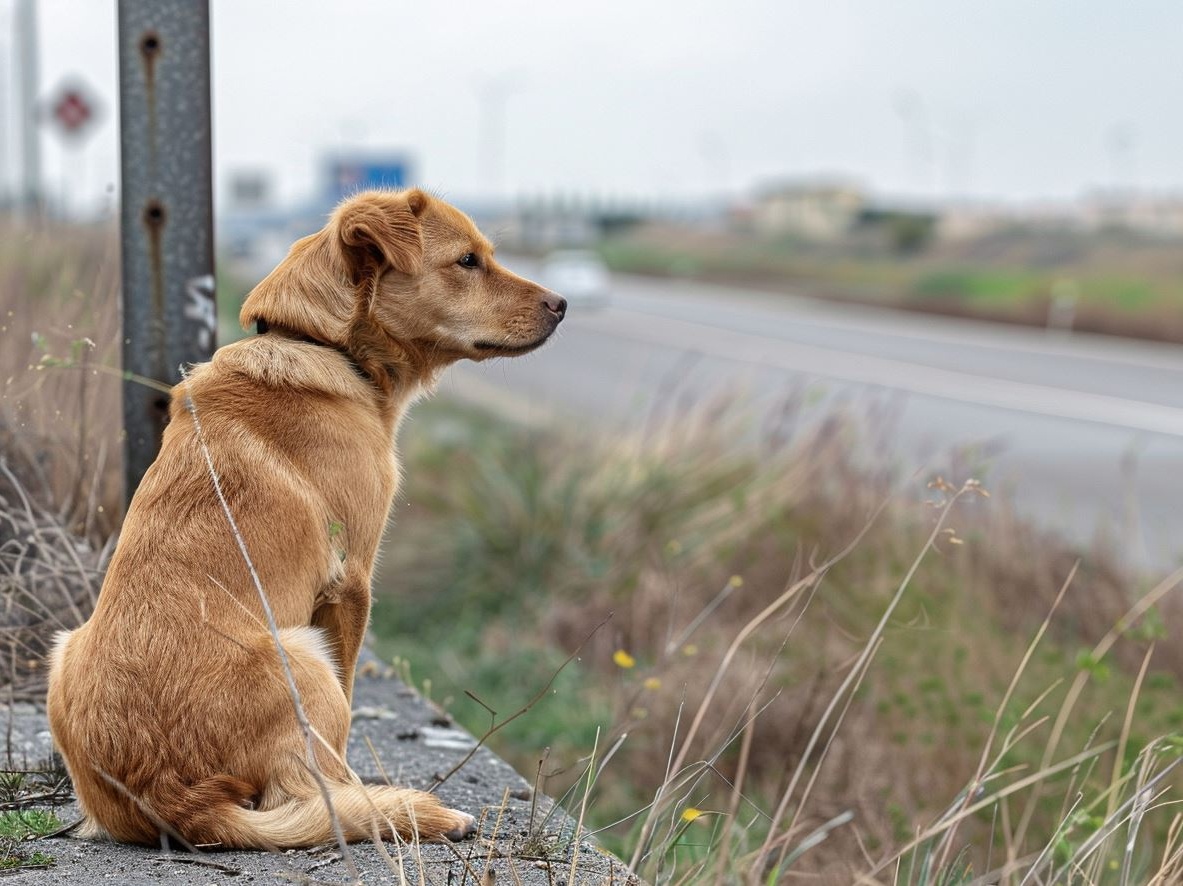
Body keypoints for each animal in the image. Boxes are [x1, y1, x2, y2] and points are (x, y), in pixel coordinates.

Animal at [46, 191, 563, 851]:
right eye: (467, 261)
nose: (562, 305)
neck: (321, 343)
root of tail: (177, 800)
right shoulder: (351, 585)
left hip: (64, 649)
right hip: (303, 653)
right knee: (306, 788)